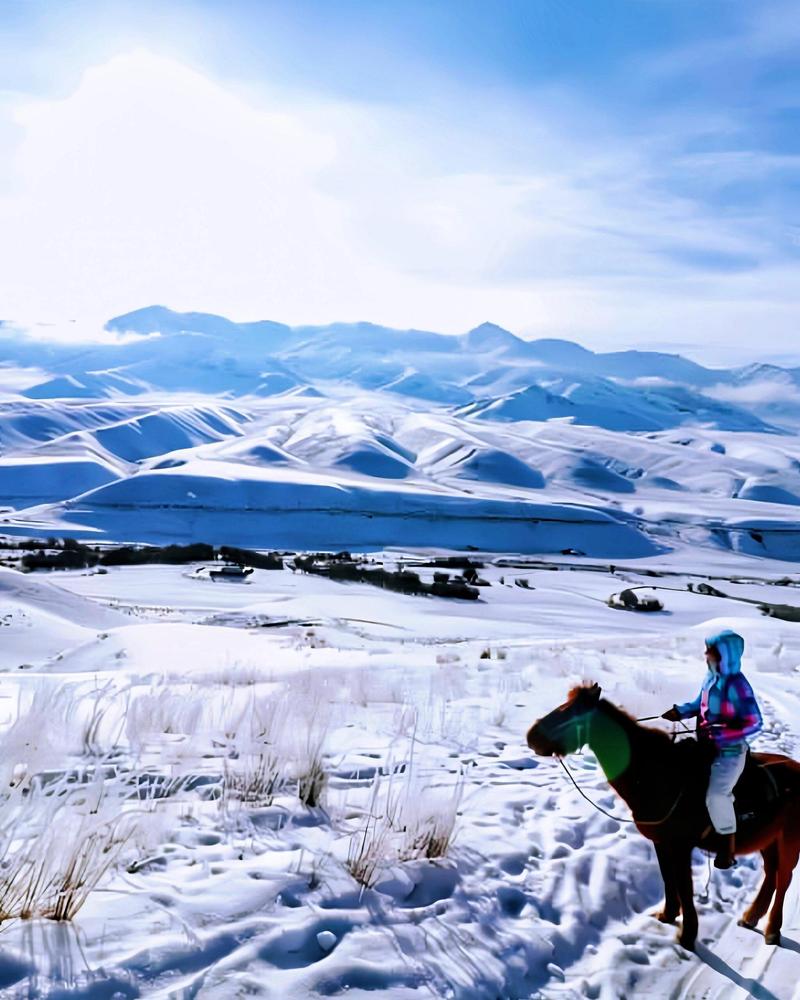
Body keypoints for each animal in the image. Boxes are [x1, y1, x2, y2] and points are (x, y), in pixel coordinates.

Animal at [524, 684, 800, 948]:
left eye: (569, 712)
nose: (531, 736)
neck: (657, 775)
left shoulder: (680, 846)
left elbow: (685, 886)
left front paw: (688, 935)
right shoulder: (661, 842)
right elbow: (668, 879)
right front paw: (668, 915)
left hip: (789, 841)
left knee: (783, 879)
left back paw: (772, 929)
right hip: (768, 838)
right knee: (771, 874)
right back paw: (752, 916)